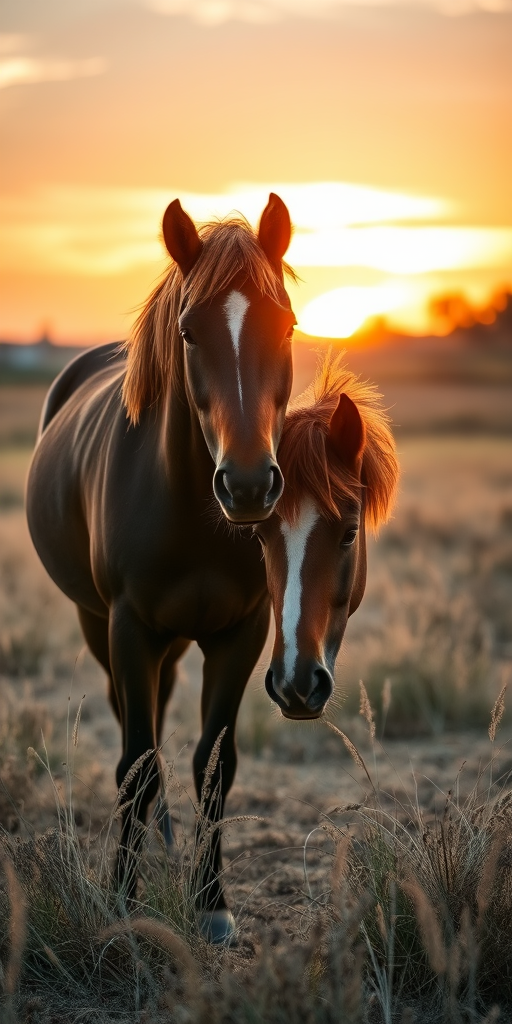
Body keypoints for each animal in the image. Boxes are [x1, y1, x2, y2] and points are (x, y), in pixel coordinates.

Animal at [26, 194, 296, 944]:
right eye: (188, 332)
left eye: (288, 324)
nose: (248, 485)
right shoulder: (129, 629)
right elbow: (138, 763)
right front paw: (123, 893)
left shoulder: (241, 634)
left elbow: (216, 763)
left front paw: (211, 902)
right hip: (99, 625)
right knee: (131, 731)